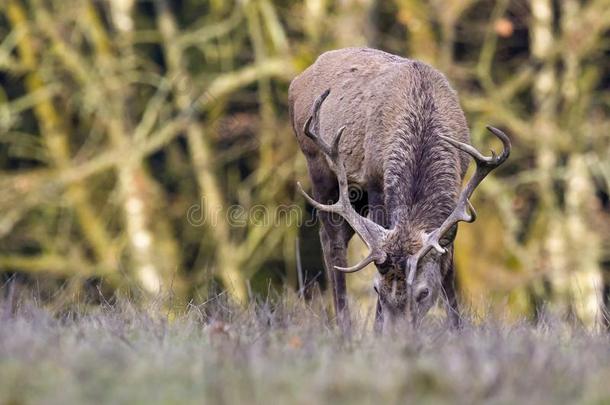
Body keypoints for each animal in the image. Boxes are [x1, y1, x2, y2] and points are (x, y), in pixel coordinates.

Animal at [288, 47, 508, 332]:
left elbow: (448, 266)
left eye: (424, 293)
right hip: (317, 161)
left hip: (354, 194)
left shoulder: (458, 184)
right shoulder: (374, 180)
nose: (397, 334)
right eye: (376, 289)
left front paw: (457, 328)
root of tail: (295, 82)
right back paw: (344, 326)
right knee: (331, 240)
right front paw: (376, 328)